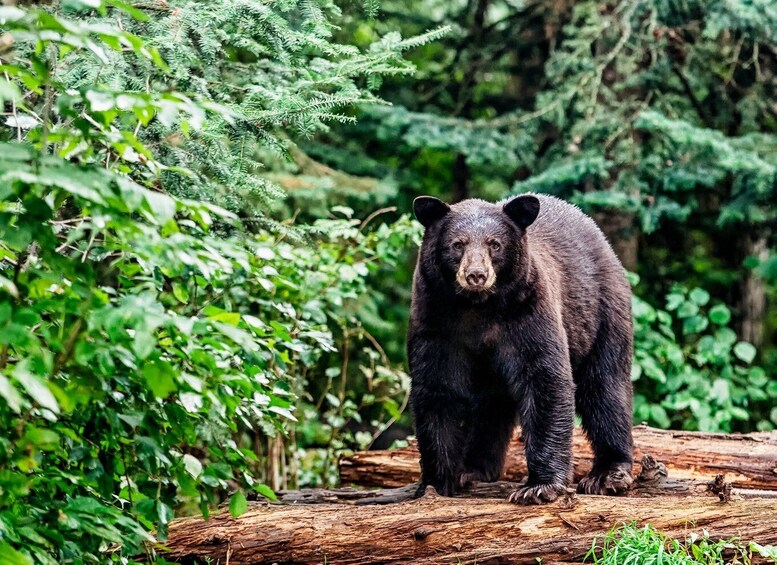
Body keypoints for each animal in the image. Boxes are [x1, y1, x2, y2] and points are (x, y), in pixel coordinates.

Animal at [406, 193, 632, 502]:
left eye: (494, 244)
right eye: (457, 244)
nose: (476, 275)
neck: (477, 307)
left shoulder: (527, 311)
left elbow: (545, 378)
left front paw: (538, 487)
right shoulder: (435, 319)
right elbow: (437, 389)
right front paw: (435, 482)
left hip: (601, 312)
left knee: (605, 386)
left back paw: (608, 473)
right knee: (491, 406)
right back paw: (473, 469)